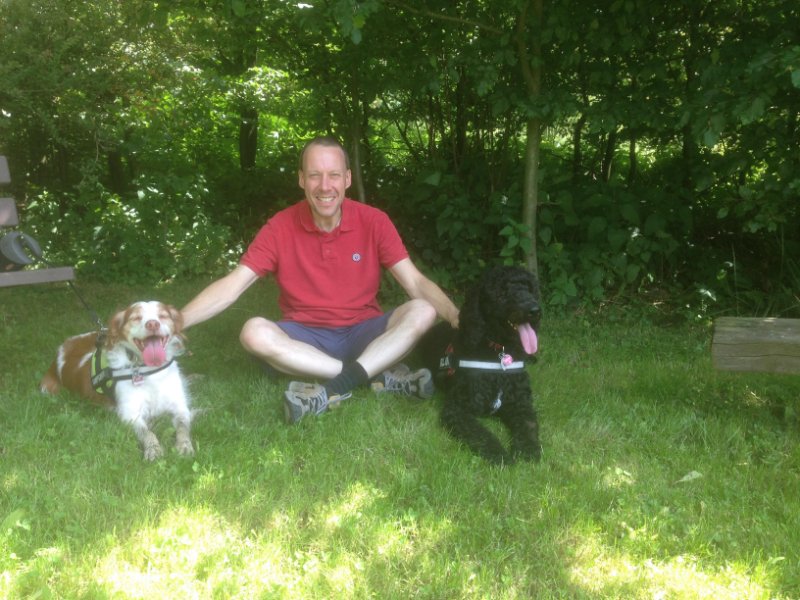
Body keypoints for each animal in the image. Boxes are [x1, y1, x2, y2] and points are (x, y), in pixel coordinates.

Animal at [39, 301, 194, 461]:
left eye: (162, 316)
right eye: (136, 317)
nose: (152, 324)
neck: (148, 369)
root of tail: (63, 347)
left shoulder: (180, 406)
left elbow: (183, 427)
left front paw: (184, 446)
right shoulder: (130, 414)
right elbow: (147, 432)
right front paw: (153, 449)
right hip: (47, 389)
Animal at [417, 265, 542, 465]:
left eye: (529, 288)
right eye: (502, 293)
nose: (534, 310)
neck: (498, 355)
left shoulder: (520, 405)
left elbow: (528, 427)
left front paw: (528, 450)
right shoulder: (458, 410)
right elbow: (481, 435)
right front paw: (499, 454)